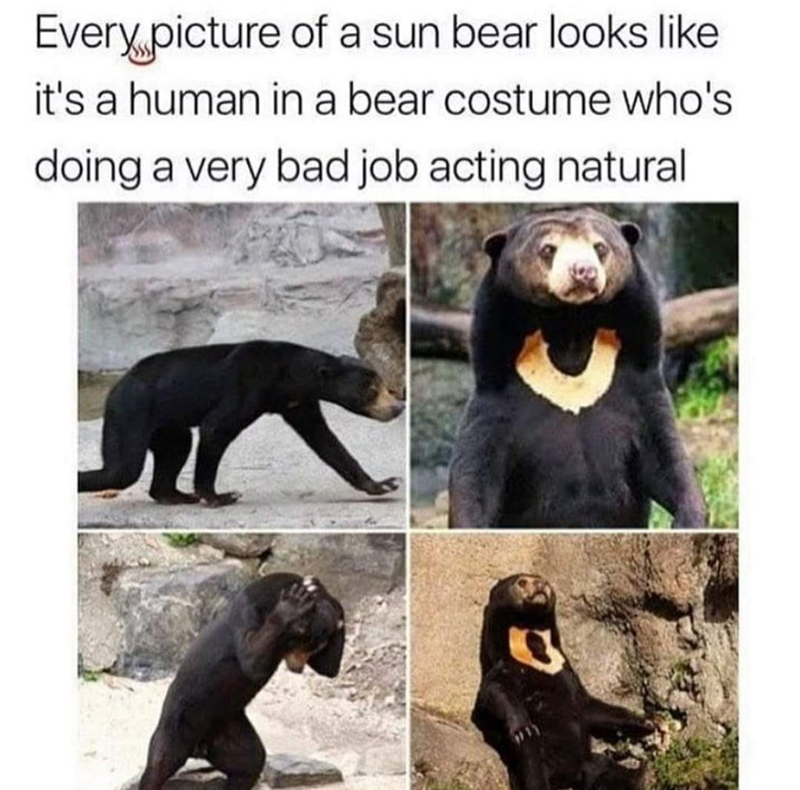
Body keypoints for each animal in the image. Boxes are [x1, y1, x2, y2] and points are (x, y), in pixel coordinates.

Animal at [78, 340, 404, 507]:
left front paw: (384, 484)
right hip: (131, 411)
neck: (290, 375)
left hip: (165, 422)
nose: (397, 407)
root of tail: (117, 386)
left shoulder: (300, 402)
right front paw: (219, 496)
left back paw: (173, 495)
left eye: (383, 385)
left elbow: (325, 441)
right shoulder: (248, 384)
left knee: (176, 446)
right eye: (371, 389)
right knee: (123, 469)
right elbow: (216, 428)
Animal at [139, 573, 345, 789]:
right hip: (180, 722)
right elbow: (251, 660)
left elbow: (328, 667)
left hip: (229, 726)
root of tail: (199, 748)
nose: (298, 667)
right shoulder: (249, 611)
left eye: (316, 647)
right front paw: (293, 603)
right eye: (298, 637)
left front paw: (321, 590)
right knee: (159, 764)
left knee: (250, 762)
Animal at [448, 207, 706, 529]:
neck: (570, 324)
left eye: (600, 247)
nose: (584, 271)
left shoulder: (637, 378)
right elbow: (478, 472)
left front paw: (689, 519)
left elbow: (664, 455)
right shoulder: (497, 388)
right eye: (548, 249)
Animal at [472, 573, 660, 790]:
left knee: (606, 767)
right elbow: (494, 691)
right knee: (533, 764)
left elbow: (589, 705)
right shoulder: (506, 667)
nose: (541, 585)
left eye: (544, 581)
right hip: (541, 758)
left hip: (588, 762)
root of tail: (568, 779)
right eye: (522, 582)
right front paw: (523, 727)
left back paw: (643, 774)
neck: (531, 639)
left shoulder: (565, 669)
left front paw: (647, 722)